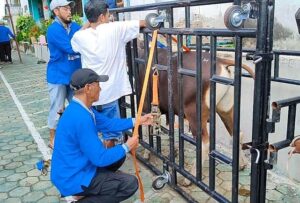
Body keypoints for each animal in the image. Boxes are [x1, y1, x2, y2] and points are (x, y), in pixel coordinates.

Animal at [137, 47, 254, 186]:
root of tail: (220, 61)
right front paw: (174, 151)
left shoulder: (145, 104)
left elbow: (146, 127)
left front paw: (146, 153)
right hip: (226, 107)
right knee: (237, 133)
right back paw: (241, 164)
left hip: (194, 113)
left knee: (204, 142)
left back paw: (189, 177)